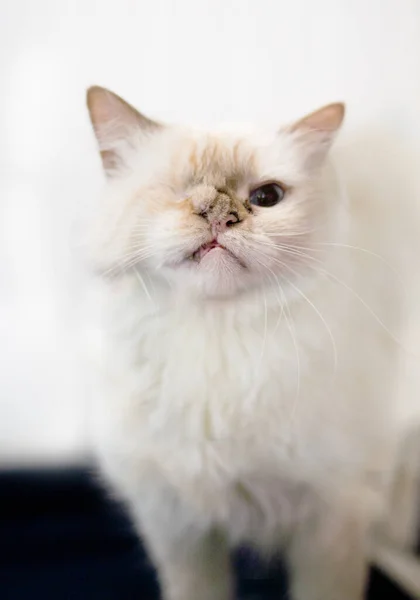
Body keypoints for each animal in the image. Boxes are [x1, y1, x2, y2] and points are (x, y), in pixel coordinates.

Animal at [83, 88, 418, 600]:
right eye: (181, 192)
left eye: (267, 198)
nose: (219, 217)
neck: (217, 339)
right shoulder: (177, 523)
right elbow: (196, 589)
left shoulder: (333, 514)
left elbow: (326, 588)